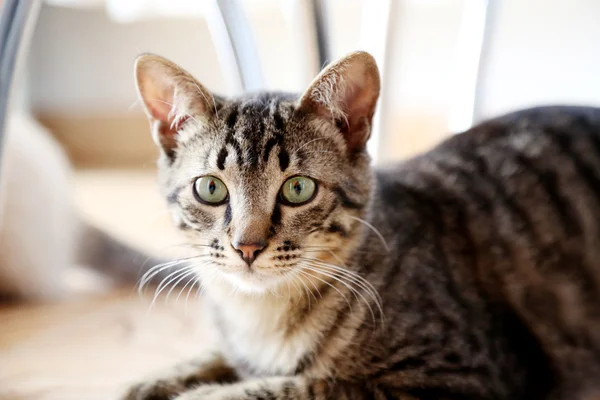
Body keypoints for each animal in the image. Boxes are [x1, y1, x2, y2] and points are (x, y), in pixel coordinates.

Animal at [120, 51, 600, 398]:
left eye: (297, 189)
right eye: (210, 189)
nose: (247, 247)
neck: (260, 316)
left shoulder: (465, 377)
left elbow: (311, 386)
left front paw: (205, 394)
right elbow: (211, 359)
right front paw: (152, 383)